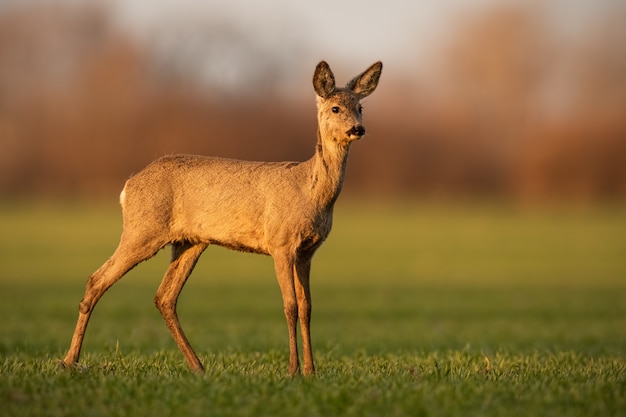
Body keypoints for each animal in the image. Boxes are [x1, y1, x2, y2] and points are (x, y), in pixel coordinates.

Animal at [62, 60, 380, 376]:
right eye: (335, 108)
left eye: (360, 107)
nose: (358, 128)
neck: (309, 190)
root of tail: (127, 186)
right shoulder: (281, 242)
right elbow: (289, 305)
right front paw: (292, 371)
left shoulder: (308, 251)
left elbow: (307, 307)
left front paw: (311, 372)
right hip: (142, 229)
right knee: (97, 279)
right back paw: (69, 360)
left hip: (190, 241)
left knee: (164, 297)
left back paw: (198, 366)